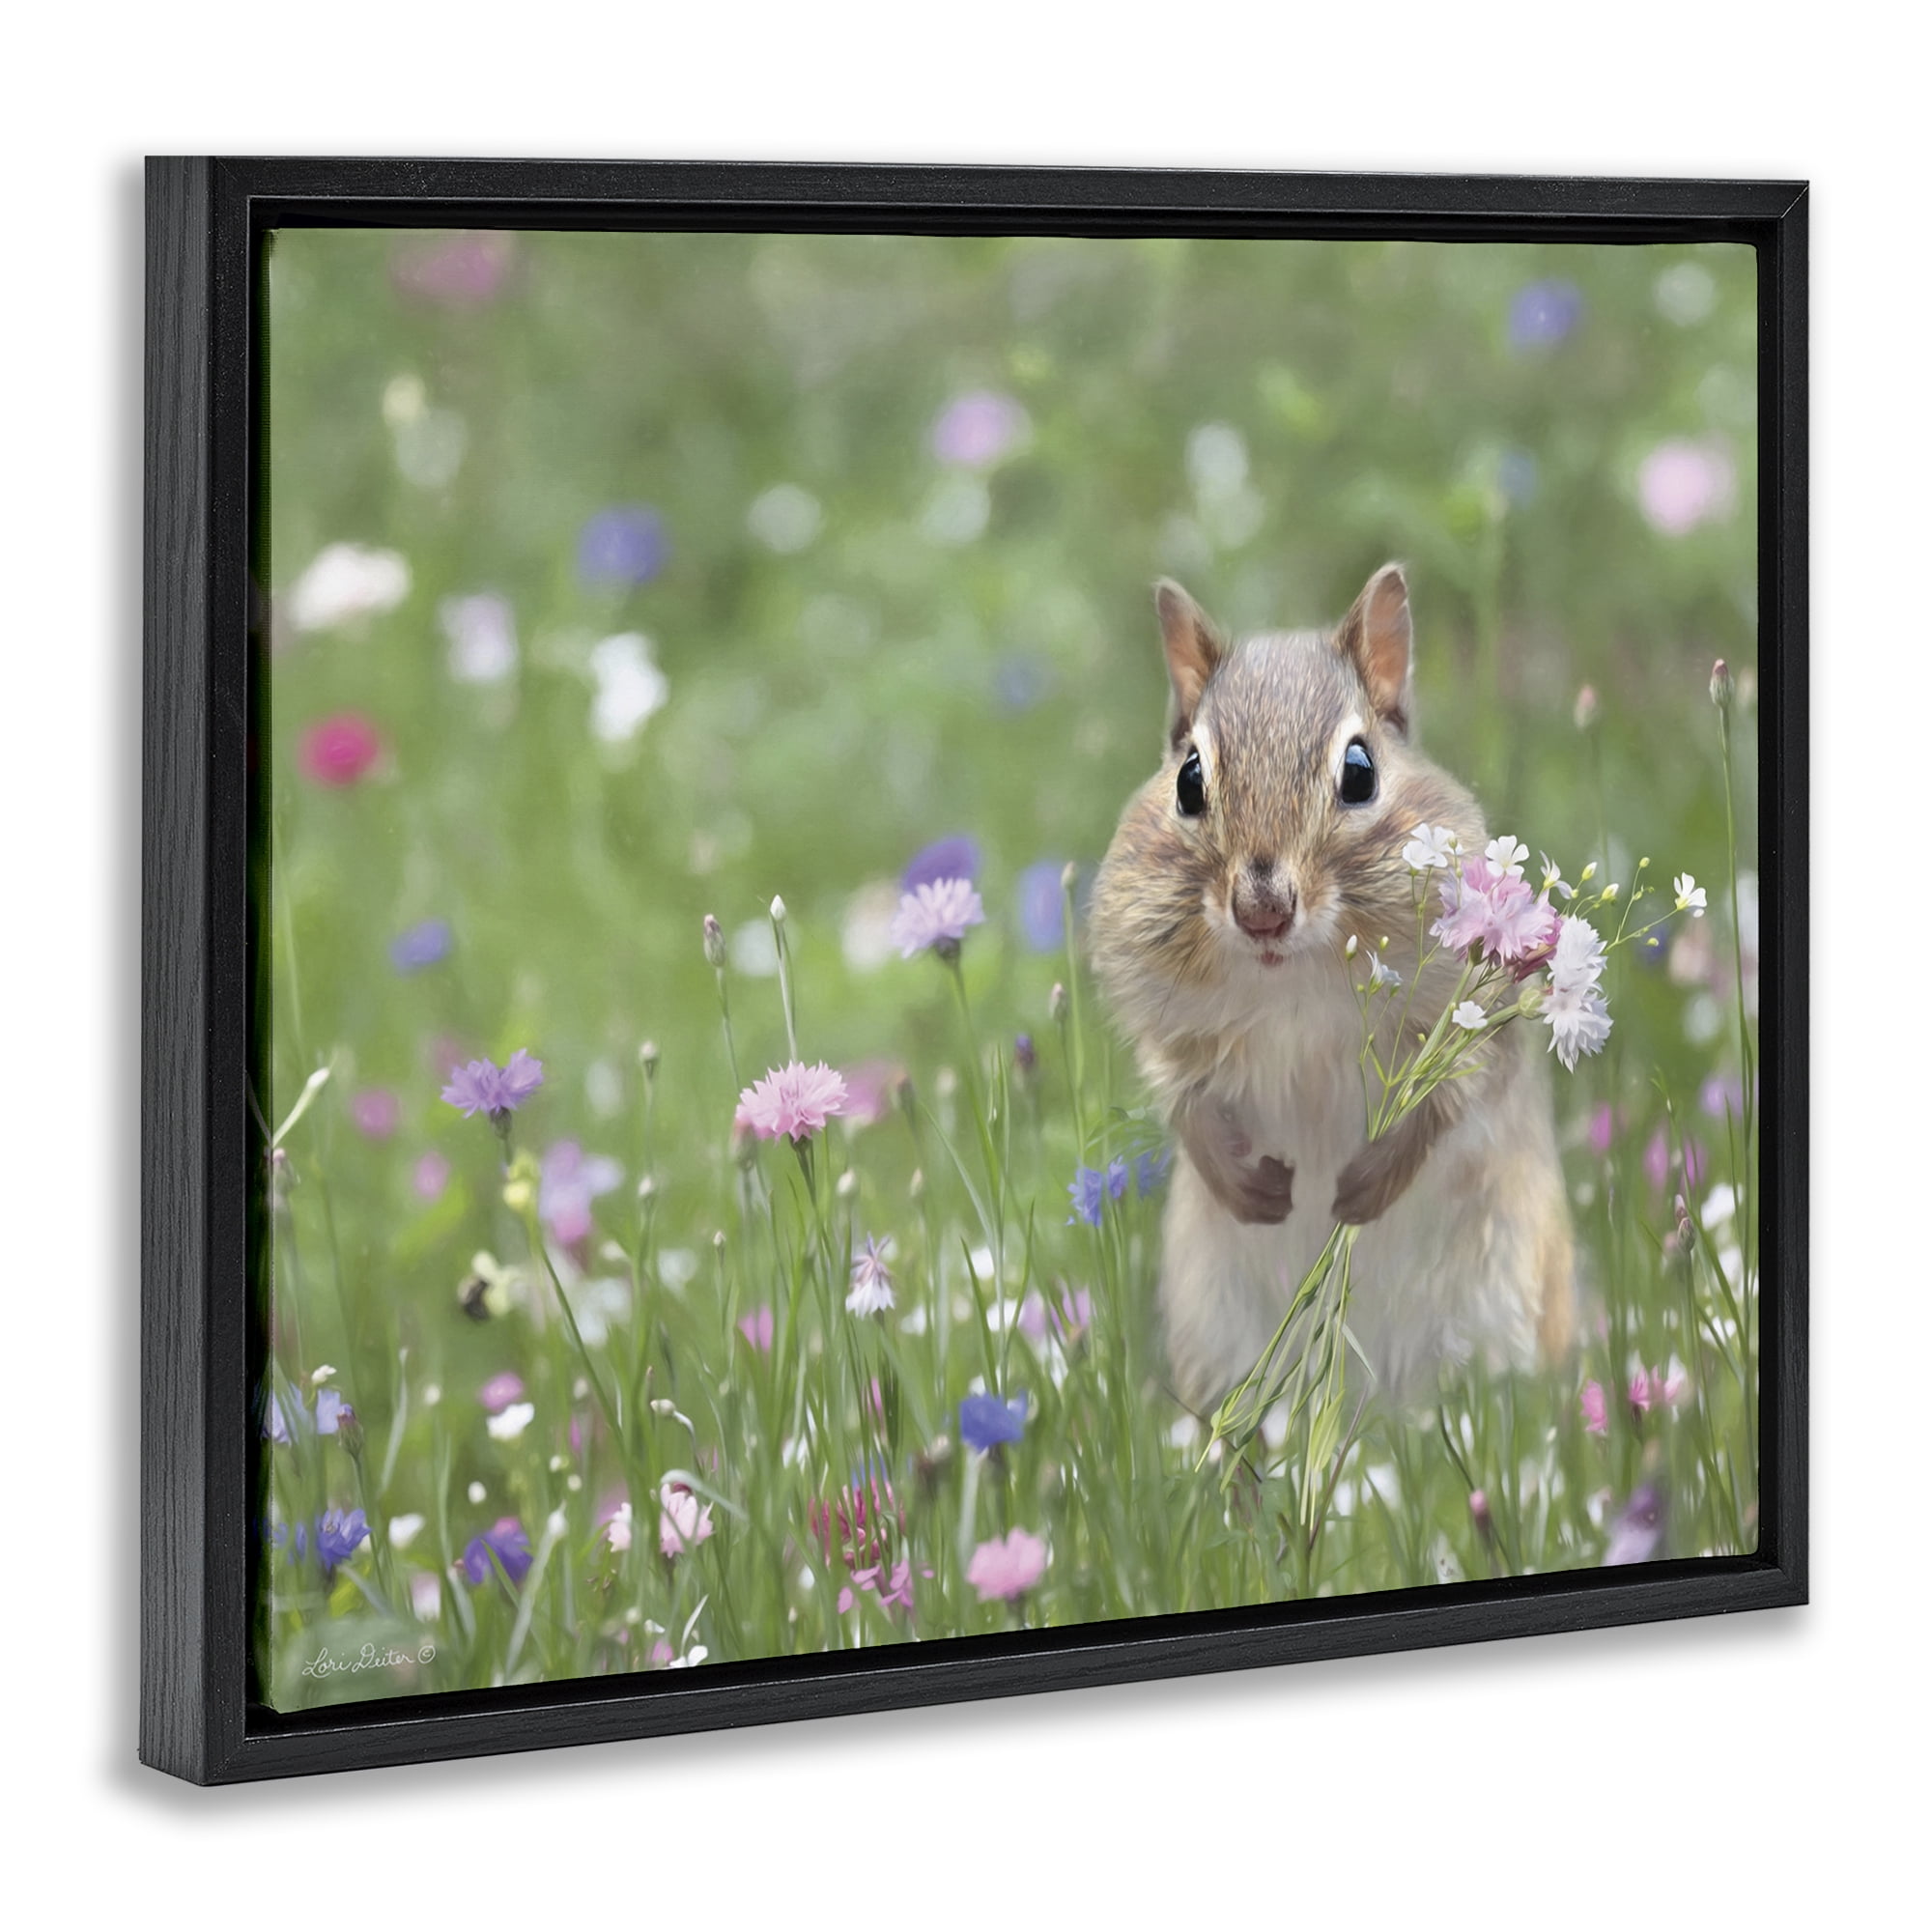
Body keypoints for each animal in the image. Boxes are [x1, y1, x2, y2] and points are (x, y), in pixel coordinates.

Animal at [1089, 563, 1575, 1411]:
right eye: (1188, 780)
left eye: (1359, 772)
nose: (1262, 911)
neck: (1292, 981)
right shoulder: (1168, 1025)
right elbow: (1182, 1099)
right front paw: (1249, 1188)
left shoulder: (1471, 1021)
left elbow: (1451, 1101)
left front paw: (1363, 1190)